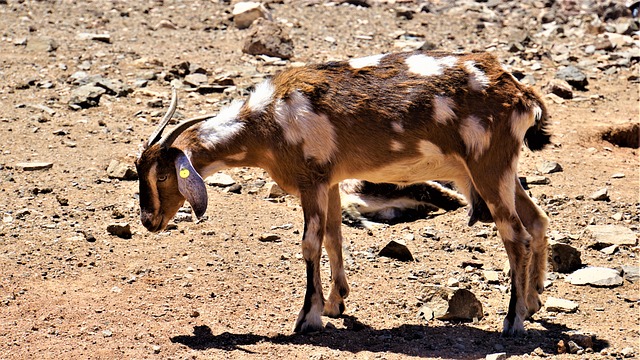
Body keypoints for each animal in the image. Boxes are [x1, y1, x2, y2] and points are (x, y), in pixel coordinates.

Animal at [134, 49, 552, 336]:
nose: (149, 220)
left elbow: (310, 243)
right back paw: (533, 302)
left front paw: (308, 316)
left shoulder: (311, 180)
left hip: (488, 167)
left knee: (516, 235)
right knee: (536, 220)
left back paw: (513, 321)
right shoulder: (331, 182)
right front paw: (336, 303)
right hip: (499, 171)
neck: (270, 120)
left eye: (164, 176)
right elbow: (334, 238)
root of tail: (522, 94)